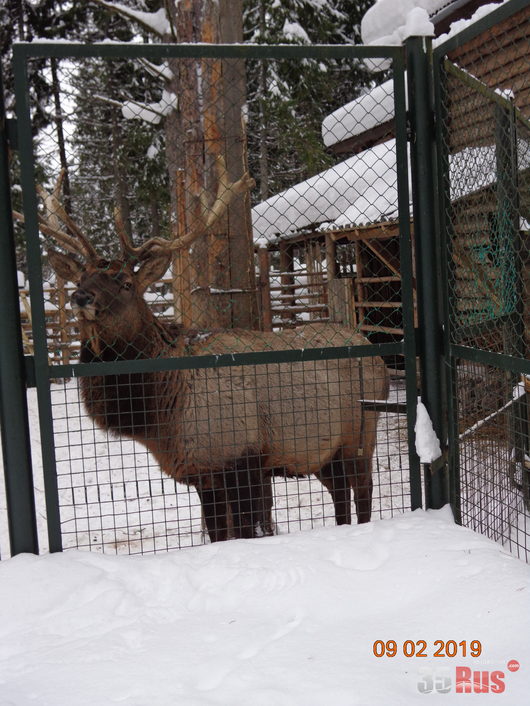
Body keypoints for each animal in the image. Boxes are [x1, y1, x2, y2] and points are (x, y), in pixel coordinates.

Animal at [33, 162, 388, 540]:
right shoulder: (203, 473)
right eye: (80, 278)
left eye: (127, 283)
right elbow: (218, 533)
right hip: (322, 452)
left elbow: (247, 529)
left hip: (361, 432)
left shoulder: (243, 460)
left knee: (363, 492)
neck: (162, 412)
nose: (81, 297)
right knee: (340, 494)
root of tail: (375, 352)